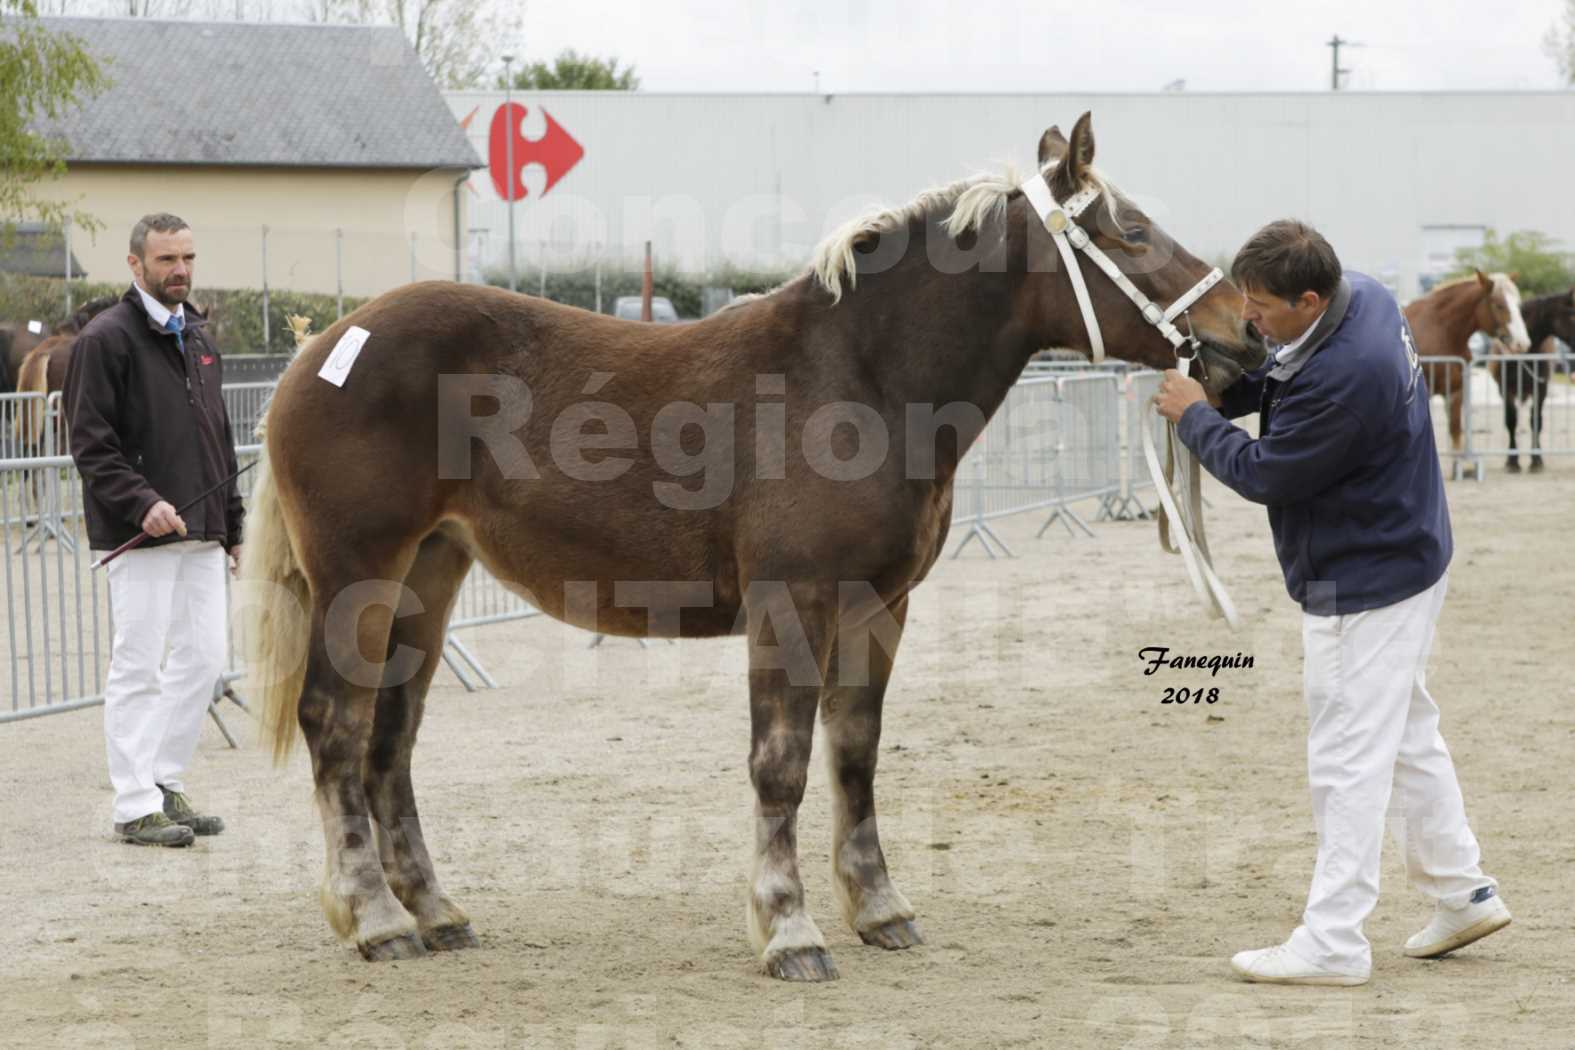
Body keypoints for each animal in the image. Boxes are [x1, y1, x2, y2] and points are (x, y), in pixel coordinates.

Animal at [236, 113, 1266, 976]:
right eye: (1130, 232)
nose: (1245, 333)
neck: (859, 380)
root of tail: (320, 347)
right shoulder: (792, 604)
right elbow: (781, 765)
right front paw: (789, 930)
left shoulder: (881, 607)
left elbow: (854, 754)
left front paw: (879, 909)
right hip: (358, 575)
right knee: (335, 726)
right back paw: (375, 919)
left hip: (431, 574)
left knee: (391, 737)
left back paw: (434, 911)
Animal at [1404, 270, 1524, 472]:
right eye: (1499, 305)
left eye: (1518, 303)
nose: (1522, 342)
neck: (1441, 330)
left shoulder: (1455, 390)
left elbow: (1455, 428)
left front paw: (1461, 464)